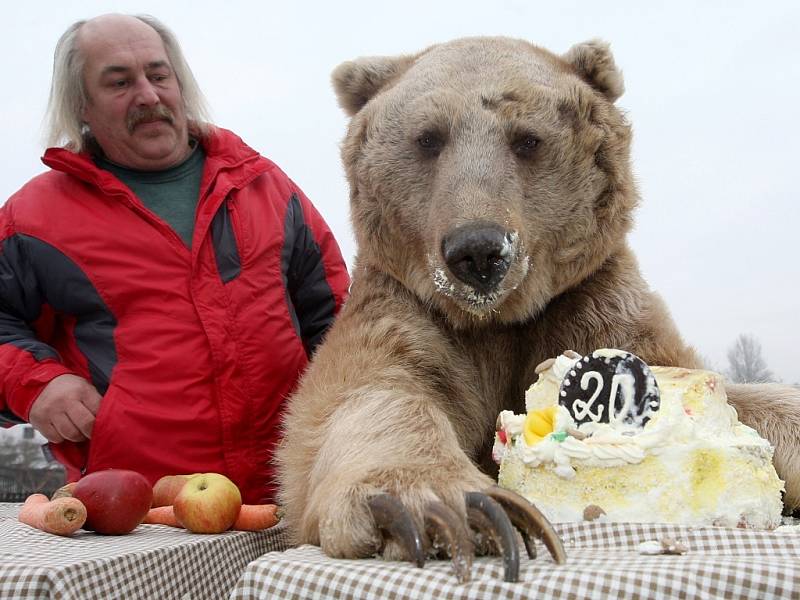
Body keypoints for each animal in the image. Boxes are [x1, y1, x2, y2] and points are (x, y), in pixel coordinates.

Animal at [276, 36, 800, 568]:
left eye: (526, 139)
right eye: (429, 138)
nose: (478, 249)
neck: (497, 319)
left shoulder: (587, 304)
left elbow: (727, 392)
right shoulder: (410, 309)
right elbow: (369, 393)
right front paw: (444, 509)